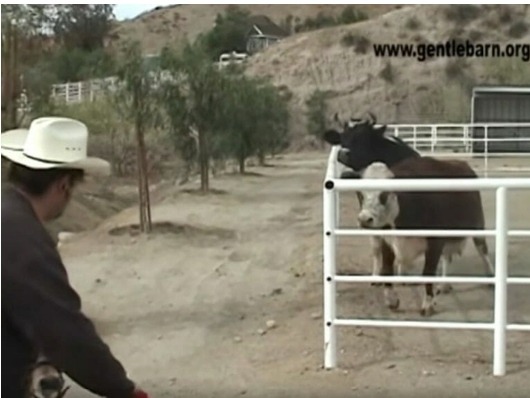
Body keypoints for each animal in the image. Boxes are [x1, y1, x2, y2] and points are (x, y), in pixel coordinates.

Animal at [354, 157, 496, 316]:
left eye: (384, 194)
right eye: (360, 194)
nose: (364, 219)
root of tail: (461, 163)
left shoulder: (435, 242)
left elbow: (428, 273)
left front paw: (427, 304)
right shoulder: (387, 240)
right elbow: (387, 270)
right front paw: (391, 300)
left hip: (477, 223)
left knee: (482, 250)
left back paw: (490, 276)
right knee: (447, 257)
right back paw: (444, 285)